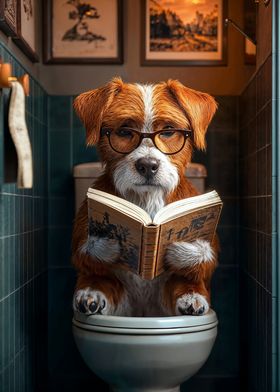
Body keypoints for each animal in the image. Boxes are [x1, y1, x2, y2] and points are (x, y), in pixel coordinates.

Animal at [71, 78, 219, 316]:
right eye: (124, 131)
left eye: (168, 131)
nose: (148, 165)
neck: (147, 199)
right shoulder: (82, 226)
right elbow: (83, 254)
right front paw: (105, 243)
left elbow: (205, 261)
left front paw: (186, 249)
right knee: (99, 278)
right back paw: (91, 294)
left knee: (184, 282)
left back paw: (191, 298)